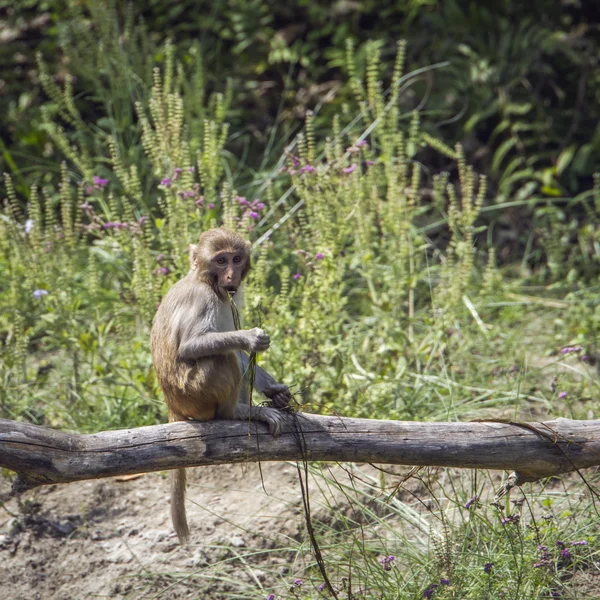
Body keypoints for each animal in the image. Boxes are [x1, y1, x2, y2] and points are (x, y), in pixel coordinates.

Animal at [149, 226, 292, 544]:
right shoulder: (204, 300)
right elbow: (191, 346)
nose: (230, 276)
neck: (206, 282)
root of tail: (172, 403)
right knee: (222, 356)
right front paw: (251, 337)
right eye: (220, 260)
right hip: (195, 394)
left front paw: (274, 390)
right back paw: (236, 412)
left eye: (236, 259)